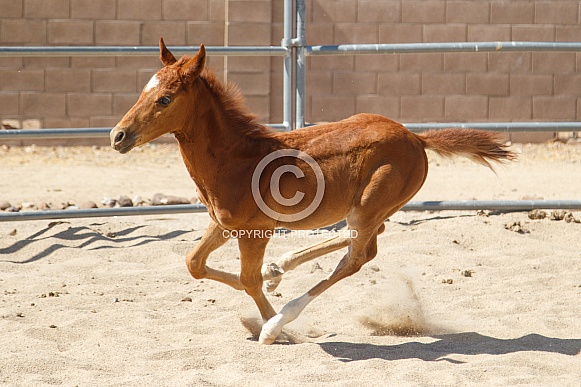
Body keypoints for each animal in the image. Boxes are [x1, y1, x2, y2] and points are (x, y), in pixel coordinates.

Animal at [111, 38, 516, 344]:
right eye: (144, 91)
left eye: (165, 99)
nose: (118, 135)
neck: (237, 159)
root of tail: (416, 138)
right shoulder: (225, 224)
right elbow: (194, 263)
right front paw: (270, 284)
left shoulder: (256, 230)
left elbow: (247, 280)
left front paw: (274, 328)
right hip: (369, 208)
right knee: (365, 241)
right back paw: (281, 267)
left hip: (370, 205)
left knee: (357, 255)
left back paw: (279, 318)